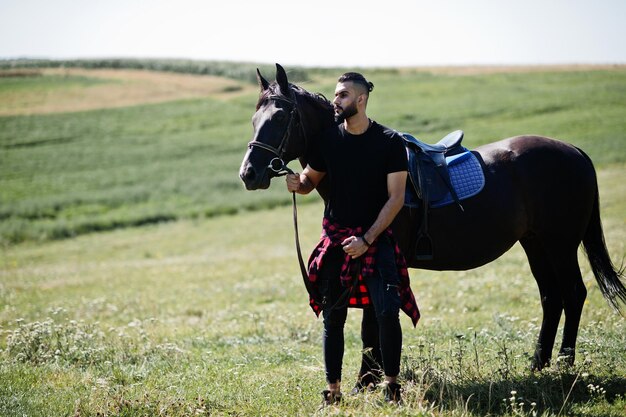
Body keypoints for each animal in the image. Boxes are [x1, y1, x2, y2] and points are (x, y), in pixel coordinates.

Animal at [239, 63, 624, 368]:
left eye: (280, 117)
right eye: (254, 119)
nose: (249, 174)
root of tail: (574, 151)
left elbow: (370, 325)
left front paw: (369, 380)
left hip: (560, 245)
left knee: (573, 293)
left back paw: (564, 363)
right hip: (535, 244)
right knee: (551, 296)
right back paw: (538, 364)